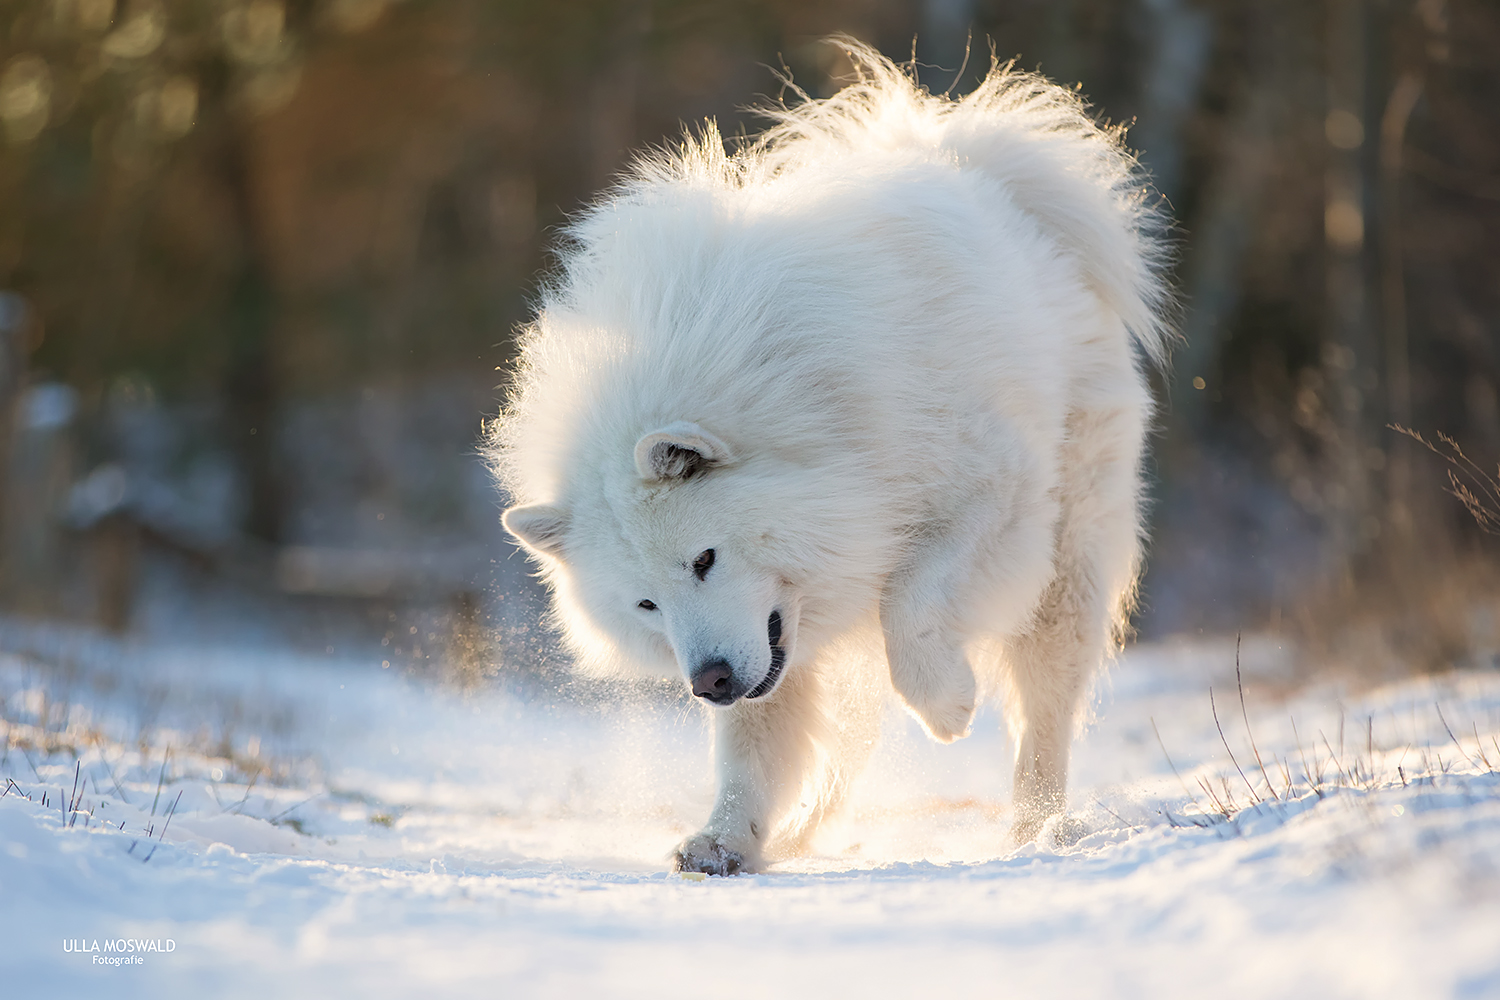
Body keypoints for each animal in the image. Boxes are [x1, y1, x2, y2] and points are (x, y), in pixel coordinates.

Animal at [492, 44, 1170, 875]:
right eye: (646, 605)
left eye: (704, 560)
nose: (709, 683)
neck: (818, 427)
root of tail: (969, 160)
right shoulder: (774, 640)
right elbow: (752, 746)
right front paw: (726, 839)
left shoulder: (989, 500)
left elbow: (913, 605)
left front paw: (947, 706)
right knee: (844, 741)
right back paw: (806, 829)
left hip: (1069, 555)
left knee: (1043, 709)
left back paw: (1035, 826)